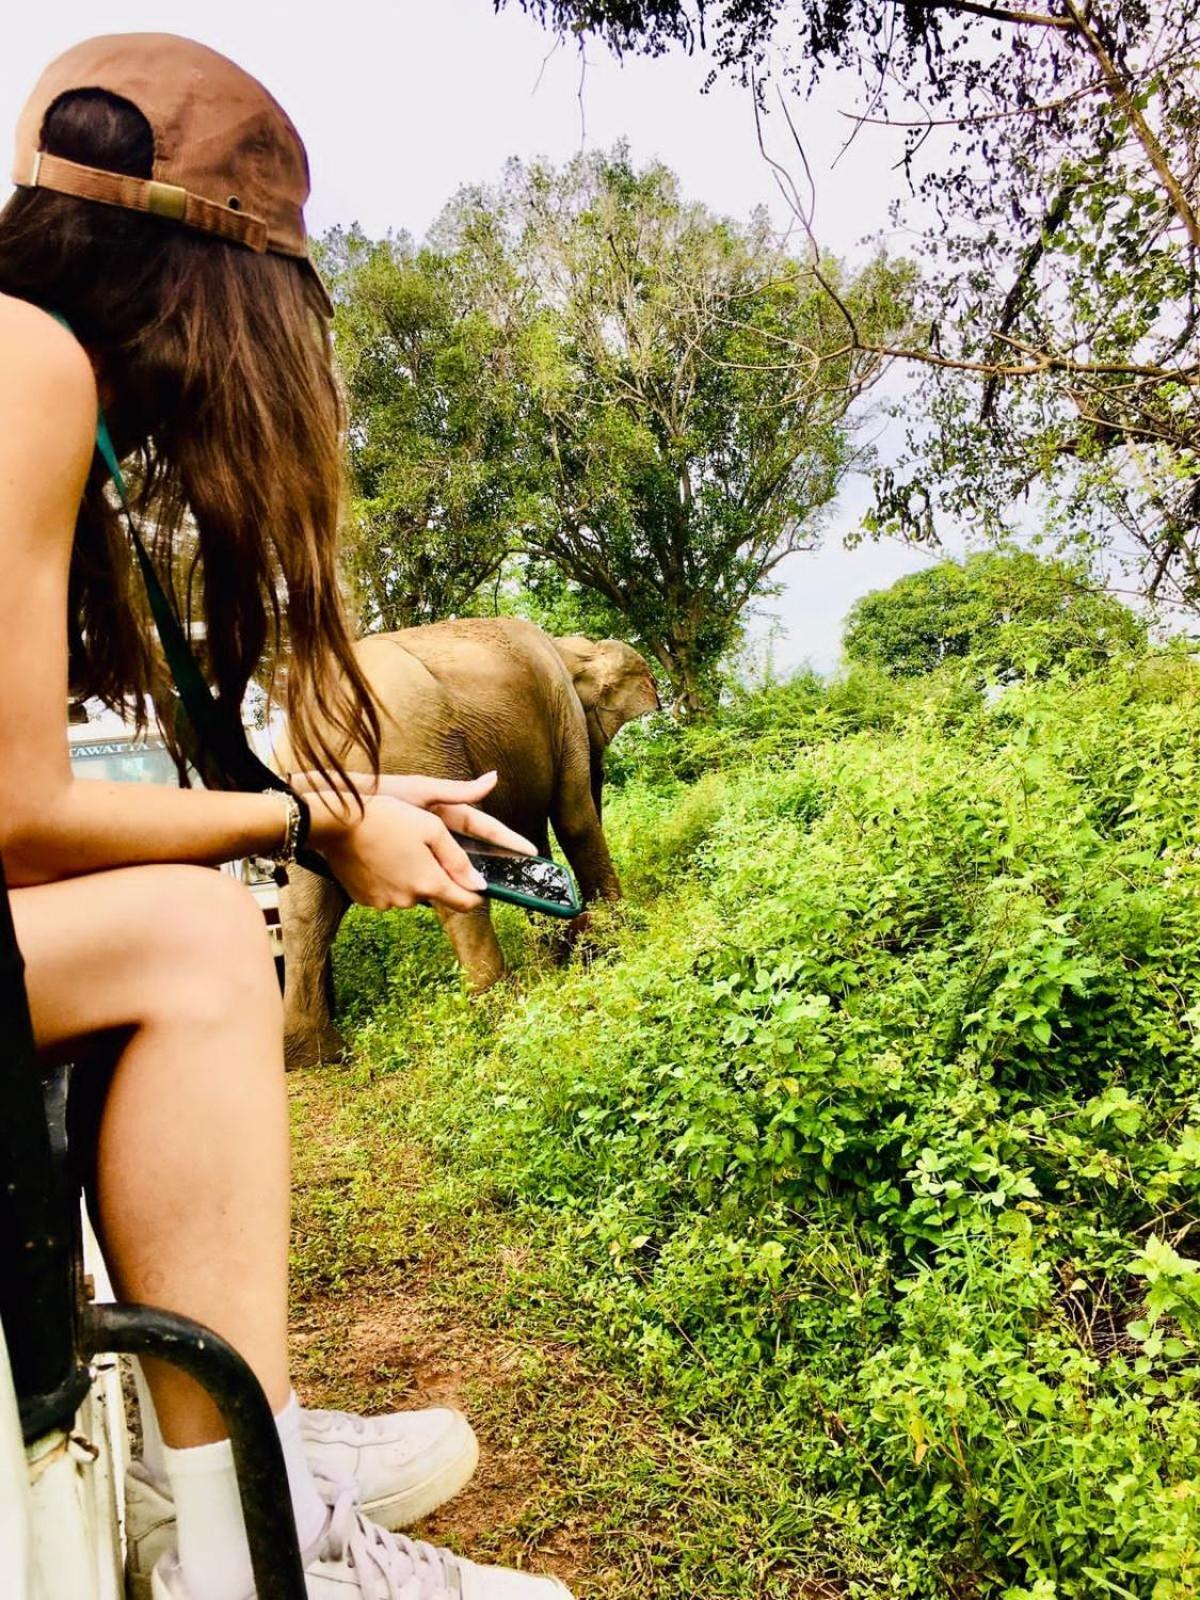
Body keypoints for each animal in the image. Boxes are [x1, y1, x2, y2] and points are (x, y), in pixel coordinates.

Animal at [278, 617, 662, 1068]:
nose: (578, 928)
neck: (569, 647)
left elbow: (530, 843)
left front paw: (556, 952)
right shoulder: (562, 710)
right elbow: (575, 820)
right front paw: (612, 938)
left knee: (304, 913)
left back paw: (318, 1055)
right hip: (422, 759)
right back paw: (502, 1008)